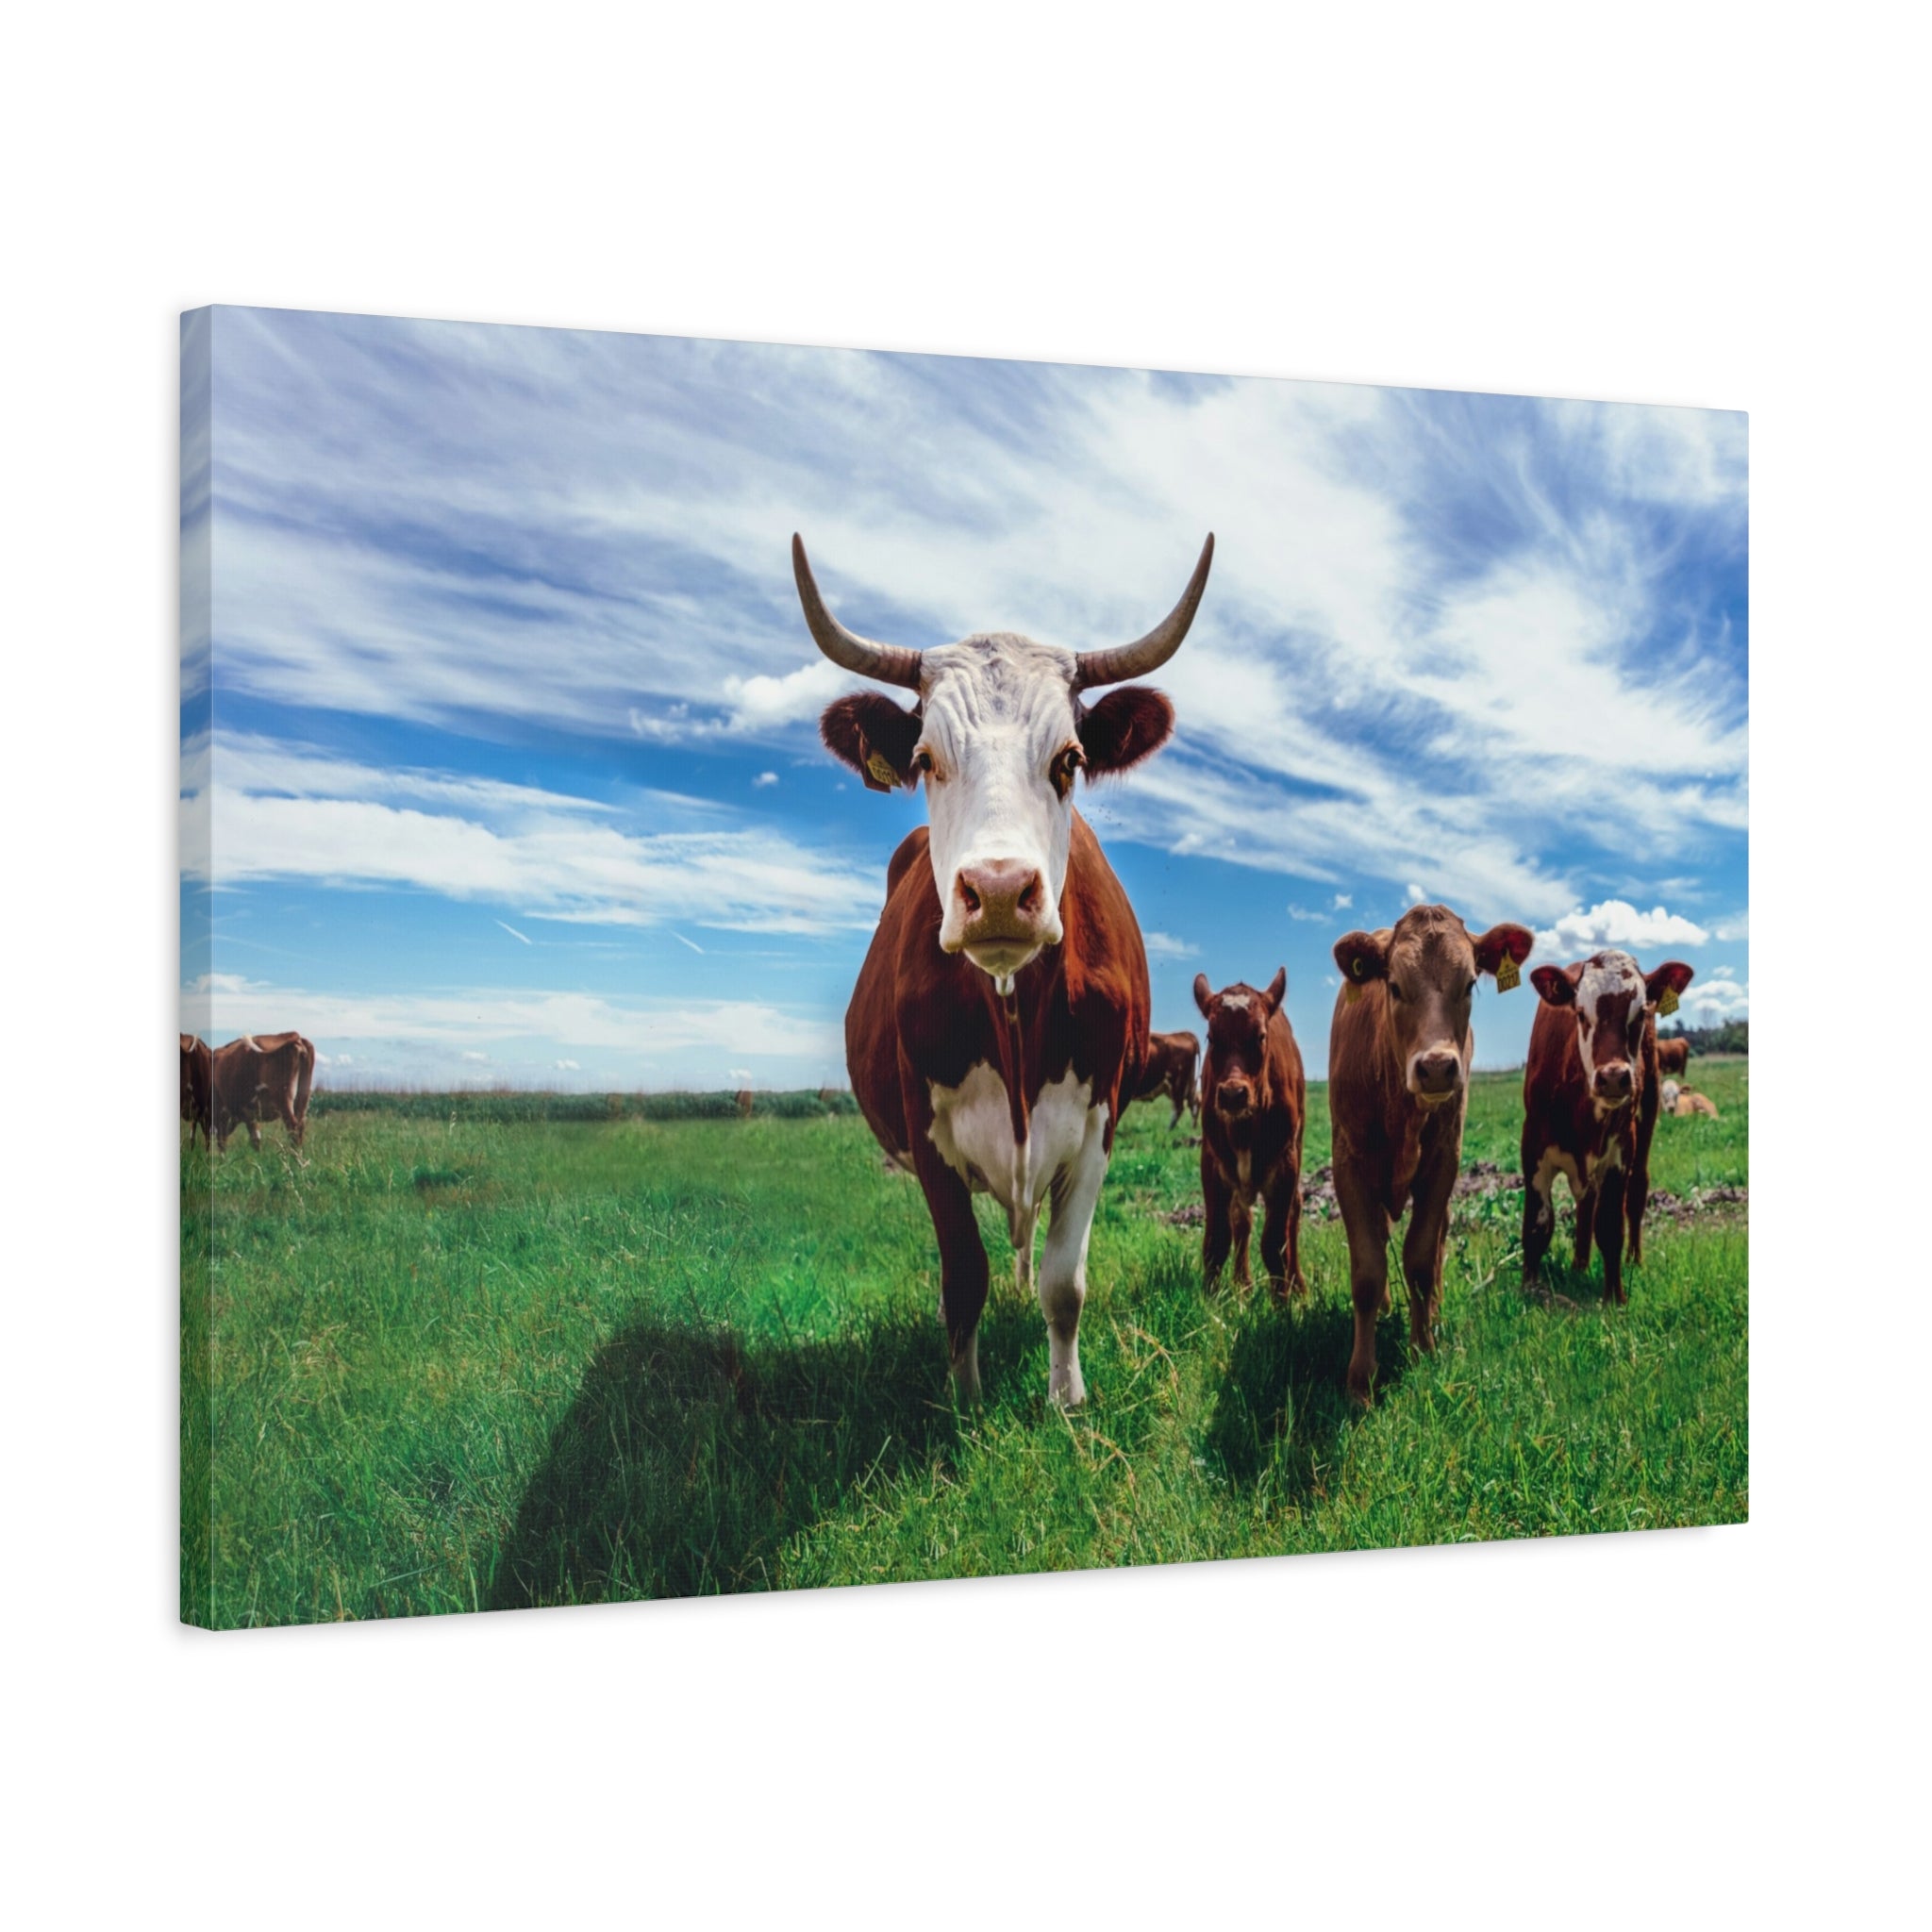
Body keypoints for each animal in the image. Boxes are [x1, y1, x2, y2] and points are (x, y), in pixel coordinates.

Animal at [800, 529, 1213, 1406]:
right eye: (925, 759)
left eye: (1070, 759)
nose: (996, 891)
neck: (1015, 1012)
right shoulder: (927, 1136)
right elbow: (964, 1277)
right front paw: (966, 1396)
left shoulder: (1097, 1125)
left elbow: (1065, 1280)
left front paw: (1066, 1396)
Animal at [1193, 970, 1306, 1298]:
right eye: (1212, 1037)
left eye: (1260, 1036)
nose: (1233, 1094)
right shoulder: (1212, 1162)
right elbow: (1217, 1240)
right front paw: (1211, 1300)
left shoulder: (1285, 1164)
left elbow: (1275, 1245)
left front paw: (1282, 1302)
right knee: (1241, 1219)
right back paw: (1241, 1284)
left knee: (1294, 1211)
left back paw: (1298, 1285)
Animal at [1329, 905, 1536, 1402]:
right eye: (1394, 985)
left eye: (1470, 984)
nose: (1438, 1067)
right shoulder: (1348, 1163)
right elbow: (1368, 1269)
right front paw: (1361, 1378)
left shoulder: (1444, 1161)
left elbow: (1421, 1258)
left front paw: (1423, 1347)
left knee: (1437, 1241)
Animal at [1522, 951, 1696, 1304]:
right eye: (1580, 1012)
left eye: (1640, 1012)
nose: (1614, 1077)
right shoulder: (1532, 1147)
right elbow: (1537, 1224)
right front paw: (1529, 1290)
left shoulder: (1620, 1151)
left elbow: (1610, 1225)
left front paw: (1615, 1296)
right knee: (1585, 1202)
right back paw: (1579, 1265)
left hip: (1649, 1108)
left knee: (1637, 1189)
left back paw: (1634, 1259)